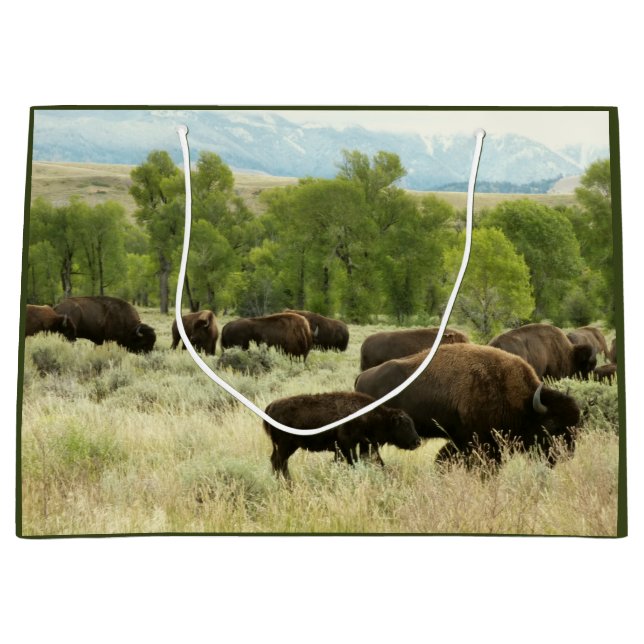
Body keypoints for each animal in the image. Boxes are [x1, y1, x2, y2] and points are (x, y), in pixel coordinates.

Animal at [263, 391, 421, 478]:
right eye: (405, 425)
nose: (417, 441)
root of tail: (271, 406)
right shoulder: (347, 446)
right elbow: (353, 462)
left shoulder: (350, 447)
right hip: (286, 446)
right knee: (279, 462)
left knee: (277, 462)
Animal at [355, 343, 581, 466]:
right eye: (551, 425)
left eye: (576, 425)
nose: (567, 454)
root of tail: (361, 377)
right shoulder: (480, 440)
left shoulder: (463, 439)